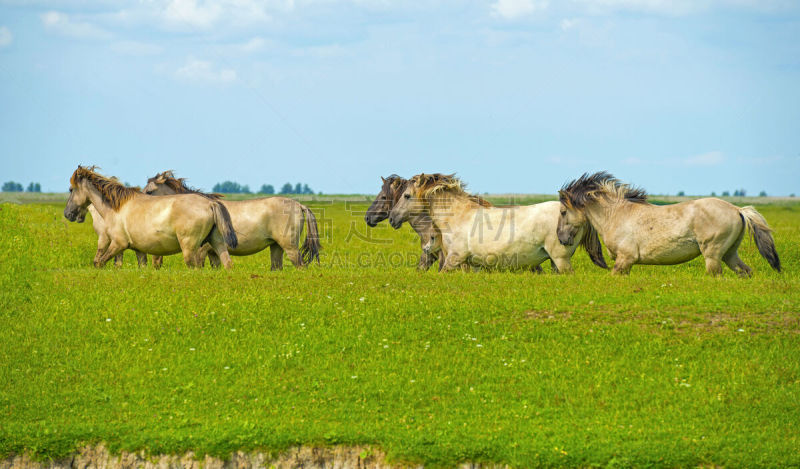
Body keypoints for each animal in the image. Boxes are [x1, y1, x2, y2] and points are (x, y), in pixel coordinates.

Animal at [63, 165, 238, 268]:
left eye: (71, 189)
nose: (67, 214)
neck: (117, 208)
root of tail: (210, 203)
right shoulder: (139, 250)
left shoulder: (117, 244)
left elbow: (99, 262)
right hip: (216, 243)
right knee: (227, 263)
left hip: (190, 247)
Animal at [142, 170, 320, 268]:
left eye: (149, 191)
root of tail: (298, 205)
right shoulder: (213, 253)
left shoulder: (200, 252)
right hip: (276, 246)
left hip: (290, 247)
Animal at [388, 174, 608, 272]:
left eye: (407, 195)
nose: (392, 218)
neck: (458, 216)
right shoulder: (473, 264)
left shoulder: (454, 259)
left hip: (561, 259)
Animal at [556, 171, 780, 274]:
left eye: (563, 211)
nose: (561, 238)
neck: (616, 214)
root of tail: (738, 209)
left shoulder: (625, 260)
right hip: (730, 254)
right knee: (746, 272)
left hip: (713, 256)